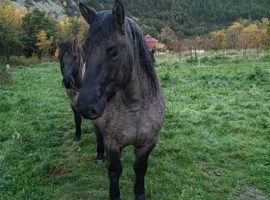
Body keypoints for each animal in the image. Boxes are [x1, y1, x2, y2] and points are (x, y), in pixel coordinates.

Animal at [77, 1, 163, 200]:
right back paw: (100, 157)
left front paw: (140, 194)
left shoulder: (148, 143)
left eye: (113, 52)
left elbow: (140, 169)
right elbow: (115, 172)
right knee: (99, 139)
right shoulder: (114, 143)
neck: (135, 106)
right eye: (84, 49)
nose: (85, 106)